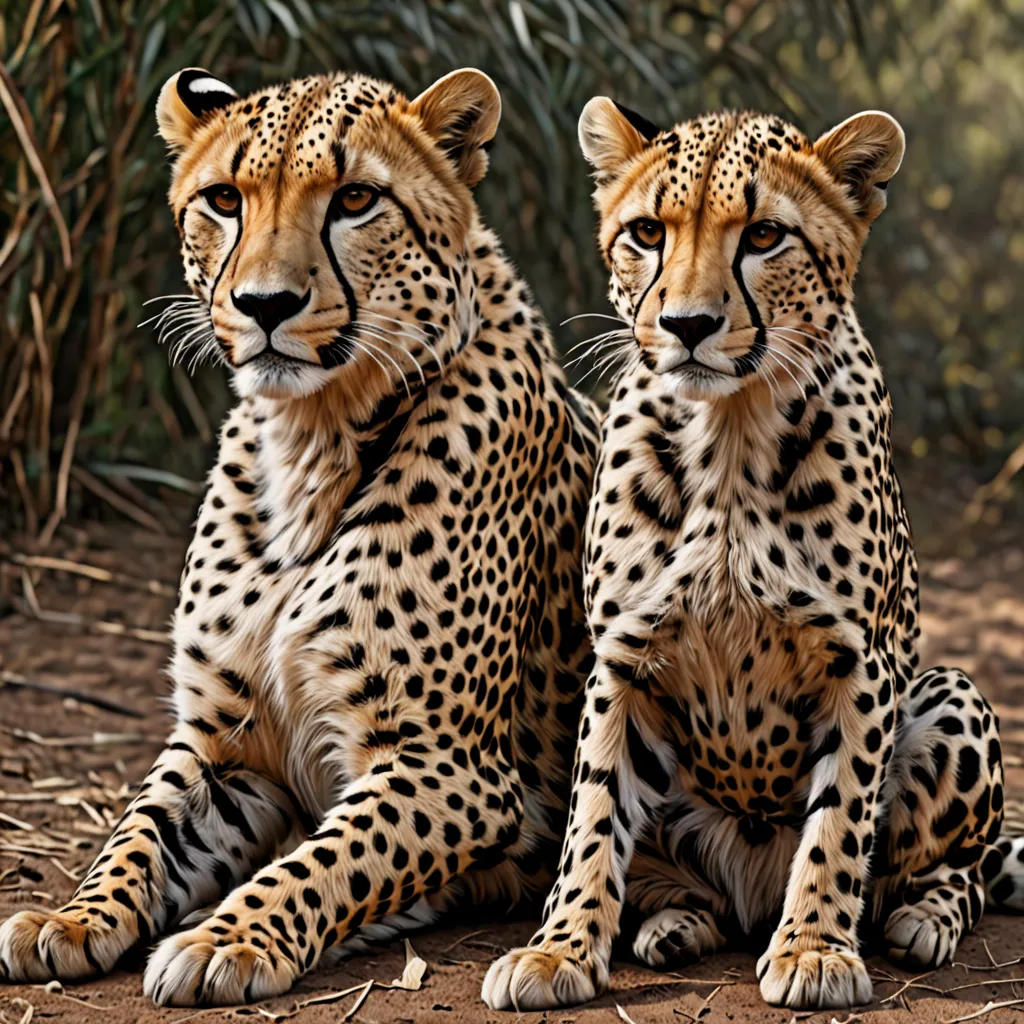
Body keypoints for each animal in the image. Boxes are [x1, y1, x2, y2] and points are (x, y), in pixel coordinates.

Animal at [0, 66, 600, 1006]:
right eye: (224, 199)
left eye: (355, 199)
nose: (265, 305)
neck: (310, 439)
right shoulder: (223, 743)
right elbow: (136, 834)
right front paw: (73, 917)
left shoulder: (452, 769)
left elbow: (329, 861)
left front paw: (227, 938)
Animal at [484, 99, 1024, 1012]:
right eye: (647, 232)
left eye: (765, 235)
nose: (688, 326)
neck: (730, 430)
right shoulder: (619, 659)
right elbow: (593, 815)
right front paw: (559, 950)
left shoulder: (860, 662)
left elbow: (839, 818)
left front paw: (814, 949)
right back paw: (674, 923)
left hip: (949, 695)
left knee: (968, 865)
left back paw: (922, 919)